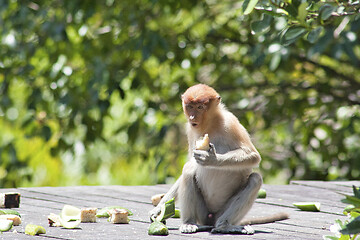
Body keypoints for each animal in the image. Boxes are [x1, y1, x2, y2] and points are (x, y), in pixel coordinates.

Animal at [150, 83, 288, 233]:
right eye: (190, 106)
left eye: (200, 107)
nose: (192, 117)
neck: (210, 124)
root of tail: (211, 217)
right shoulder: (190, 130)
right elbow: (189, 164)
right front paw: (159, 209)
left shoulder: (231, 122)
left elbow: (253, 156)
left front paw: (211, 159)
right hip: (203, 212)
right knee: (188, 170)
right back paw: (189, 223)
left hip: (222, 211)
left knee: (255, 179)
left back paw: (224, 225)